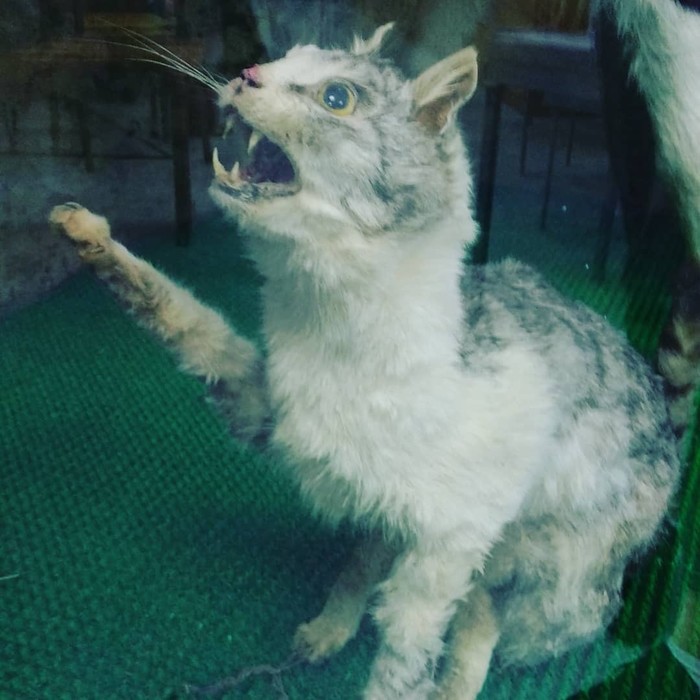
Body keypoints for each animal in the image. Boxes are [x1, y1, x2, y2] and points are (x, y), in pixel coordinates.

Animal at [49, 24, 682, 700]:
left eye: (337, 98)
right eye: (279, 59)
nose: (246, 74)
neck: (326, 322)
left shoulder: (449, 546)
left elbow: (403, 665)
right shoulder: (263, 405)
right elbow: (193, 323)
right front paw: (89, 238)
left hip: (546, 578)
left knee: (487, 619)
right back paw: (332, 629)